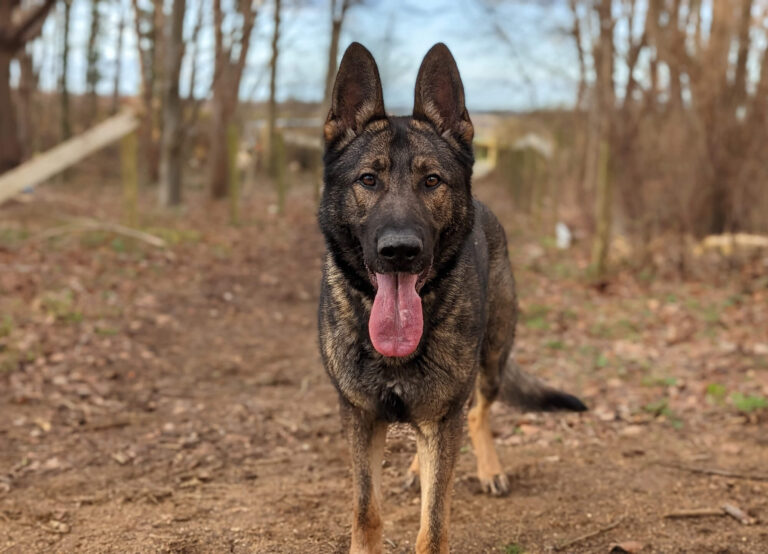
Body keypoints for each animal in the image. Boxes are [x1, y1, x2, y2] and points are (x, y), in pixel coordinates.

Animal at [316, 41, 584, 548]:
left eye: (432, 181)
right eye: (368, 180)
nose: (400, 251)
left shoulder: (443, 418)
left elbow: (433, 526)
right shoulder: (359, 418)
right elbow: (366, 512)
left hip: (493, 358)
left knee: (477, 412)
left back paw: (489, 470)